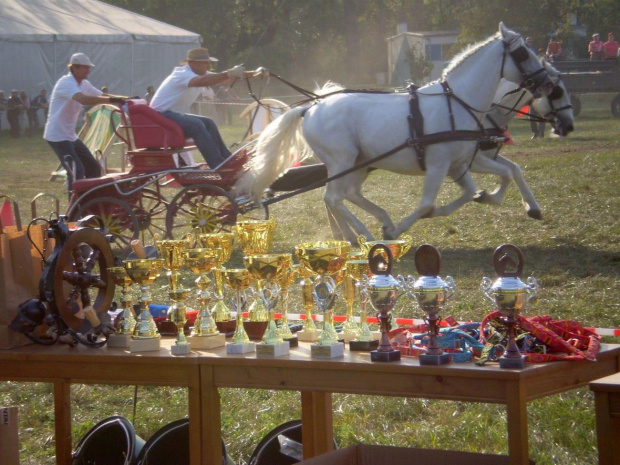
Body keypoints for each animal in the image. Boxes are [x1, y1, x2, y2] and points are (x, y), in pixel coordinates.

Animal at [237, 22, 556, 239]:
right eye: (523, 53)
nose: (547, 83)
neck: (458, 103)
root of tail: (311, 108)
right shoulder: (439, 164)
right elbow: (428, 202)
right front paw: (400, 229)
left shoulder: (460, 163)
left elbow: (485, 183)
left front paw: (511, 202)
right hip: (341, 161)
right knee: (333, 198)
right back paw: (365, 234)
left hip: (357, 163)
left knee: (345, 195)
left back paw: (372, 226)